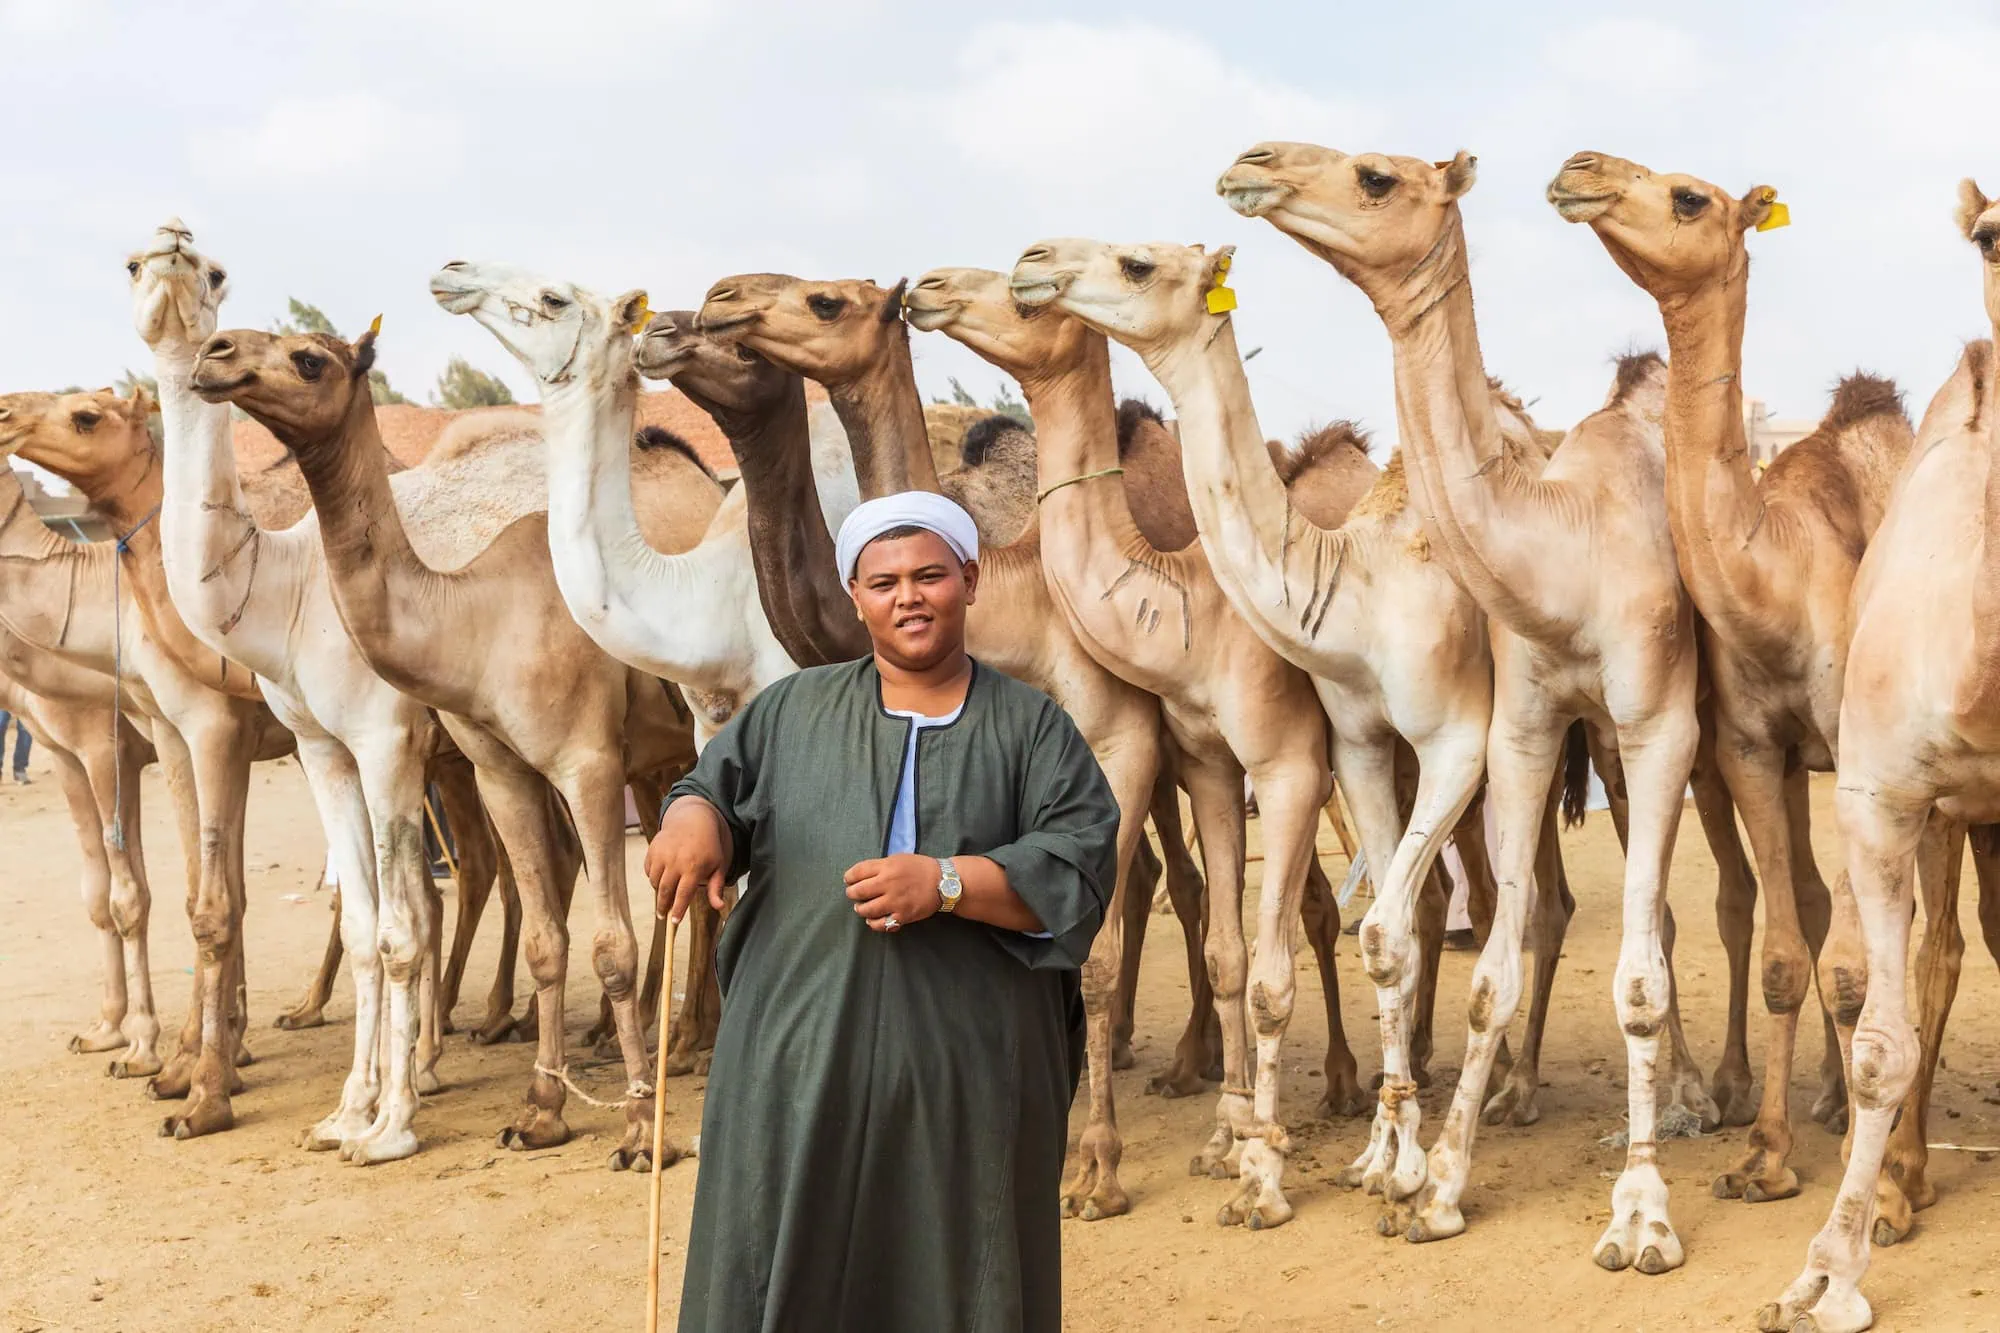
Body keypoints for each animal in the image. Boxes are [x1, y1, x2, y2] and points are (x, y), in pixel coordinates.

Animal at [194, 321, 704, 1171]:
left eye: (310, 358)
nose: (214, 354)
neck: (476, 612)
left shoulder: (587, 762)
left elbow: (611, 943)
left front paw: (639, 1132)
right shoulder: (500, 768)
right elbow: (547, 938)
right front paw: (539, 1114)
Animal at [1209, 143, 1729, 1271]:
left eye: (1373, 177)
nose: (1251, 163)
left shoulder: (1642, 724)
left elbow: (1620, 958)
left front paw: (1642, 1214)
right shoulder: (1495, 728)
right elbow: (1459, 946)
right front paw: (1421, 1175)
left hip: (1640, 741)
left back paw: (1692, 1099)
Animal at [1548, 153, 1926, 1212]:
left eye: (1689, 197)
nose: (1580, 170)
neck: (1782, 578)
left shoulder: (1861, 755)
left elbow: (1856, 965)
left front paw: (1870, 1183)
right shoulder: (1754, 746)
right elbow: (1792, 957)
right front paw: (1764, 1152)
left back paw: (1903, 1159)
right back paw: (1831, 1102)